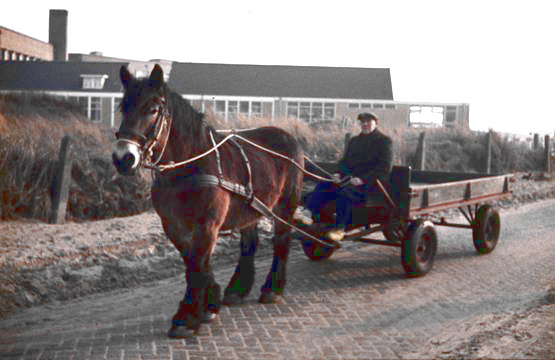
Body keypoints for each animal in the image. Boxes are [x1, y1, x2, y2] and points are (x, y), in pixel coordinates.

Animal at [111, 64, 306, 338]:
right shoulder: (174, 226)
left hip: (285, 206)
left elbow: (197, 264)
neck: (190, 165)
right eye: (123, 107)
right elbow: (192, 263)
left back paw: (272, 289)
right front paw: (208, 304)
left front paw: (188, 317)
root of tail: (289, 137)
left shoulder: (207, 224)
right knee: (249, 244)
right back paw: (237, 290)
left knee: (281, 241)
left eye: (152, 109)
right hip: (251, 208)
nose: (123, 158)